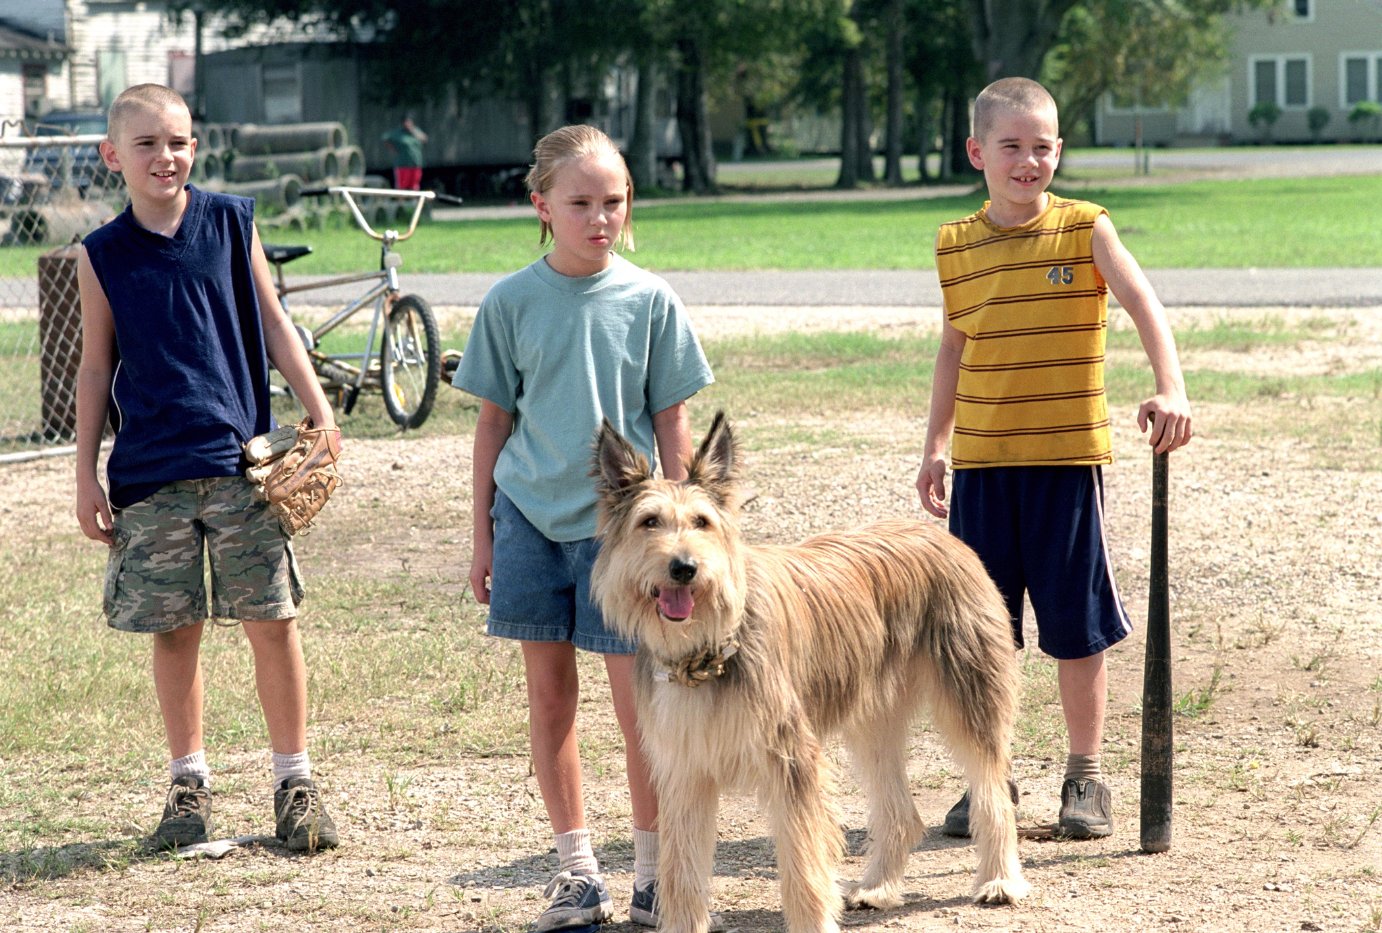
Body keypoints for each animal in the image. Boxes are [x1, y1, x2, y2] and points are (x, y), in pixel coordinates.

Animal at [588, 417, 1033, 933]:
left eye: (701, 522)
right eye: (649, 522)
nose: (684, 568)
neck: (708, 647)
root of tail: (943, 536)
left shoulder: (792, 761)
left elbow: (804, 864)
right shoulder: (686, 770)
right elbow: (681, 870)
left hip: (971, 699)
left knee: (992, 793)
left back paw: (999, 880)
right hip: (873, 720)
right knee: (901, 814)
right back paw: (878, 888)